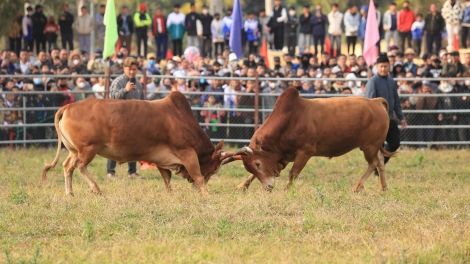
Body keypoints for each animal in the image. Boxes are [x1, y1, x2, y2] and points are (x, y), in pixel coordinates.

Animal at [41, 92, 242, 195]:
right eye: (214, 168)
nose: (195, 190)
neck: (181, 119)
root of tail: (68, 107)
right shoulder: (187, 153)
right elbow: (197, 175)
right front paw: (206, 193)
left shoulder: (161, 159)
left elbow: (166, 178)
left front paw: (170, 194)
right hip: (88, 149)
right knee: (79, 166)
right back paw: (96, 189)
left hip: (74, 150)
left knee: (67, 166)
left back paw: (70, 193)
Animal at [224, 87, 396, 193]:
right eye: (250, 167)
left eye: (258, 164)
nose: (268, 187)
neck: (289, 120)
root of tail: (375, 102)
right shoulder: (283, 156)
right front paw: (241, 186)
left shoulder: (305, 152)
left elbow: (293, 173)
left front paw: (287, 189)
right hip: (373, 146)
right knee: (380, 161)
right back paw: (383, 187)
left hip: (370, 146)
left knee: (373, 163)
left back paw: (357, 186)